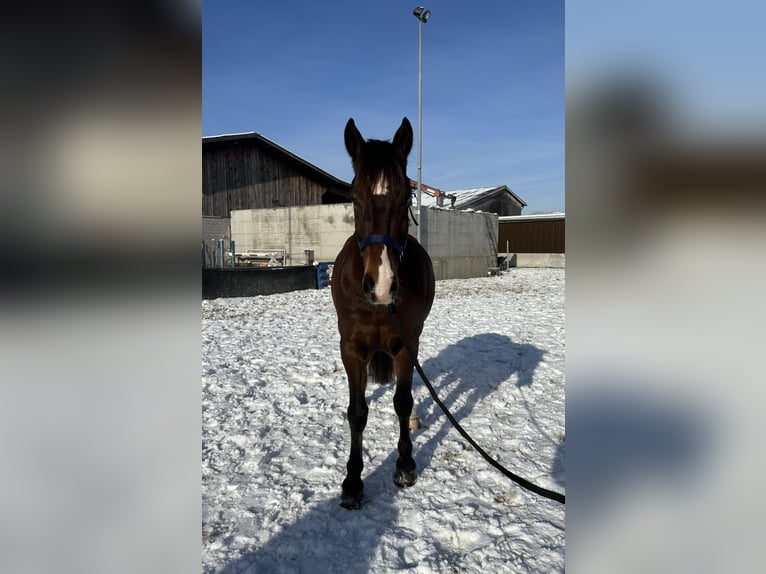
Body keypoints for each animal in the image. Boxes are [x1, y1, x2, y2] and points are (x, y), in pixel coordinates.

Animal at [332, 116, 436, 508]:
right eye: (354, 197)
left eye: (405, 196)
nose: (381, 284)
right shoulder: (352, 349)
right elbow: (357, 412)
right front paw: (352, 481)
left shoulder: (406, 345)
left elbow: (402, 402)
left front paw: (405, 465)